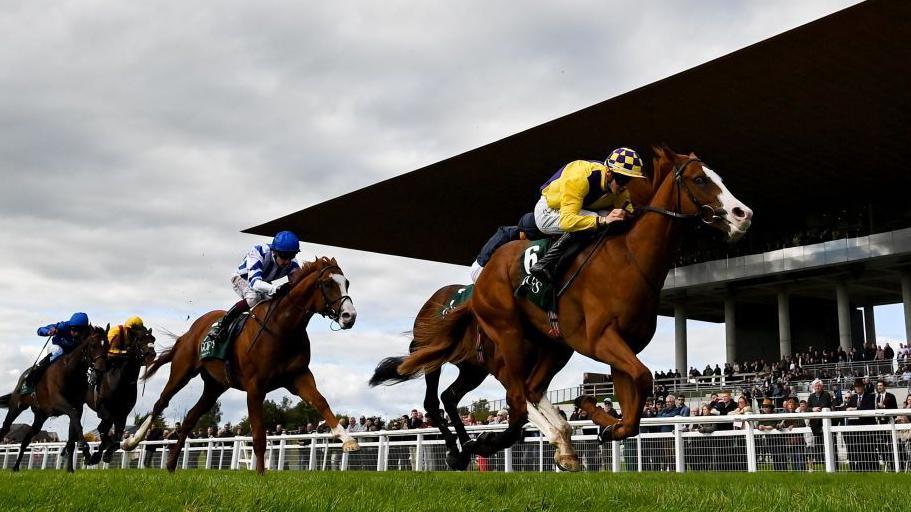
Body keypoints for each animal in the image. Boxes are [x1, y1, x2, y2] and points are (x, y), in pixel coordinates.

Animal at [0, 328, 107, 472]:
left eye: (106, 345)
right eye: (93, 345)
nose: (101, 369)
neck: (70, 371)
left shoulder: (77, 407)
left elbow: (73, 430)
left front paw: (70, 469)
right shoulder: (59, 402)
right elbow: (74, 417)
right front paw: (85, 450)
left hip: (40, 416)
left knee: (26, 439)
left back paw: (16, 467)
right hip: (16, 406)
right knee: (6, 427)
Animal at [84, 326, 157, 466]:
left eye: (153, 339)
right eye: (140, 339)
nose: (151, 354)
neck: (121, 380)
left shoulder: (122, 412)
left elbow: (117, 434)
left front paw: (107, 452)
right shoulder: (104, 409)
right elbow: (104, 430)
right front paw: (97, 455)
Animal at [124, 258, 356, 474]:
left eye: (347, 283)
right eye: (327, 283)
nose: (349, 316)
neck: (283, 329)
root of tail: (189, 332)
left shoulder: (298, 376)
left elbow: (320, 402)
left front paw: (347, 440)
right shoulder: (255, 388)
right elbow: (259, 436)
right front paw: (261, 476)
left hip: (214, 386)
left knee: (190, 418)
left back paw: (171, 465)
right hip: (182, 371)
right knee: (160, 403)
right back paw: (131, 442)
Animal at [370, 284, 576, 472]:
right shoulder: (505, 371)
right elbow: (520, 412)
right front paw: (485, 442)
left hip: (473, 371)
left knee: (449, 397)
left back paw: (462, 449)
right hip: (433, 356)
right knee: (432, 401)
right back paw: (455, 451)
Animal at [396, 145, 752, 464]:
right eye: (699, 179)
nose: (743, 215)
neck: (629, 260)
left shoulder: (622, 347)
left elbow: (633, 406)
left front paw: (602, 422)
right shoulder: (599, 339)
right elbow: (643, 378)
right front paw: (587, 415)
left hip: (547, 348)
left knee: (512, 392)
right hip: (504, 336)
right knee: (504, 398)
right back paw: (476, 446)